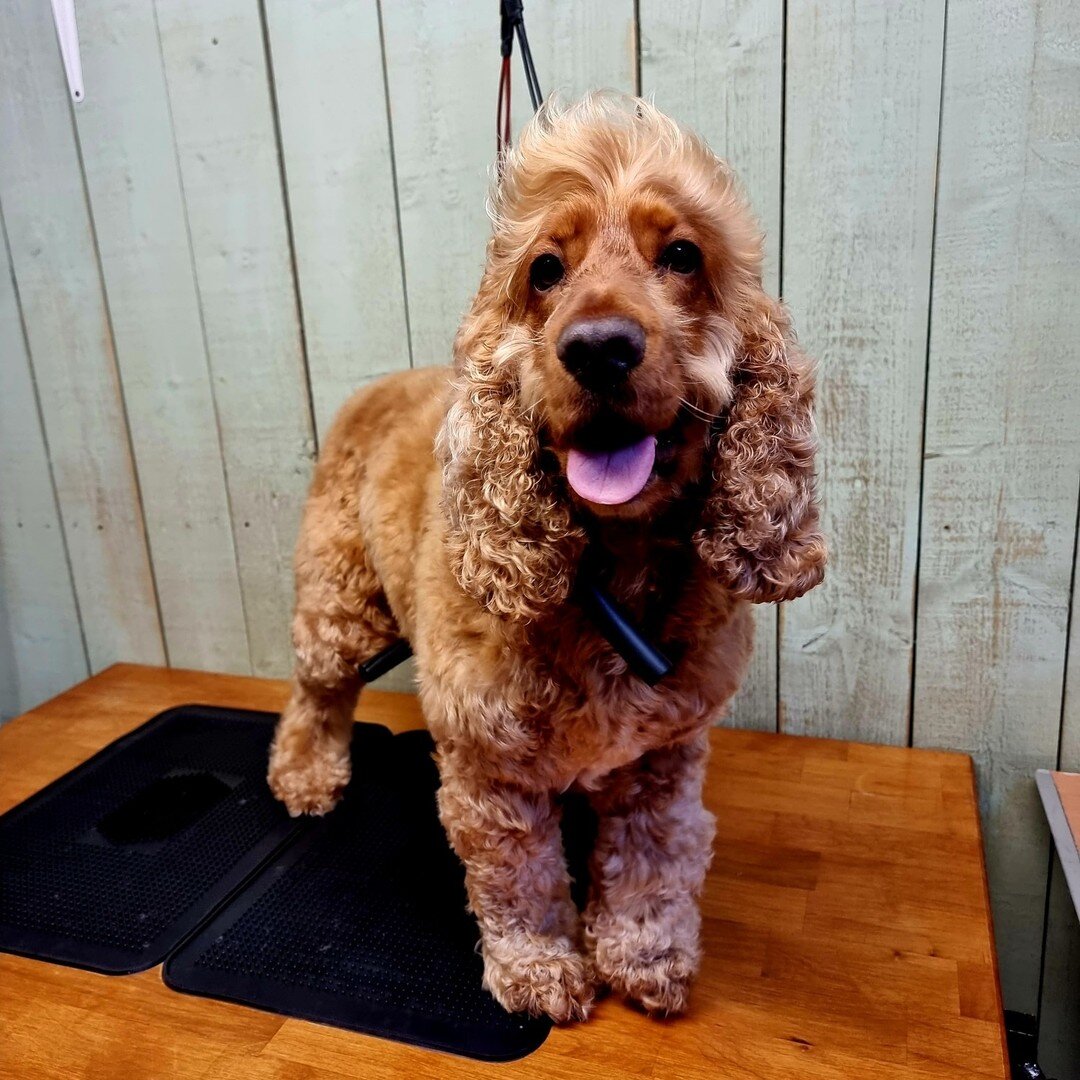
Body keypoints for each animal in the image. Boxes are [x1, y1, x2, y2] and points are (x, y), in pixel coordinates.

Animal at [265, 92, 820, 1019]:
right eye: (546, 271)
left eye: (682, 255)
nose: (598, 347)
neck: (613, 566)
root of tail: (374, 386)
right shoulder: (489, 765)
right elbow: (518, 880)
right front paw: (538, 968)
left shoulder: (664, 757)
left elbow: (653, 860)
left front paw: (645, 953)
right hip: (338, 599)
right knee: (317, 691)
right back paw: (308, 774)